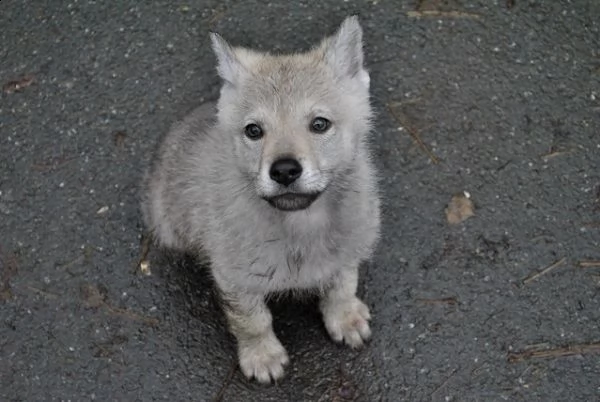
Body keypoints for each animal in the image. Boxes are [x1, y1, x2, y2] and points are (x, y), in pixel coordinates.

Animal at [142, 16, 380, 384]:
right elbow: (253, 321)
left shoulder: (348, 249)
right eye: (254, 130)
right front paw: (262, 355)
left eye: (320, 124)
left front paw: (344, 317)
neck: (298, 226)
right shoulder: (235, 279)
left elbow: (342, 285)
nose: (284, 170)